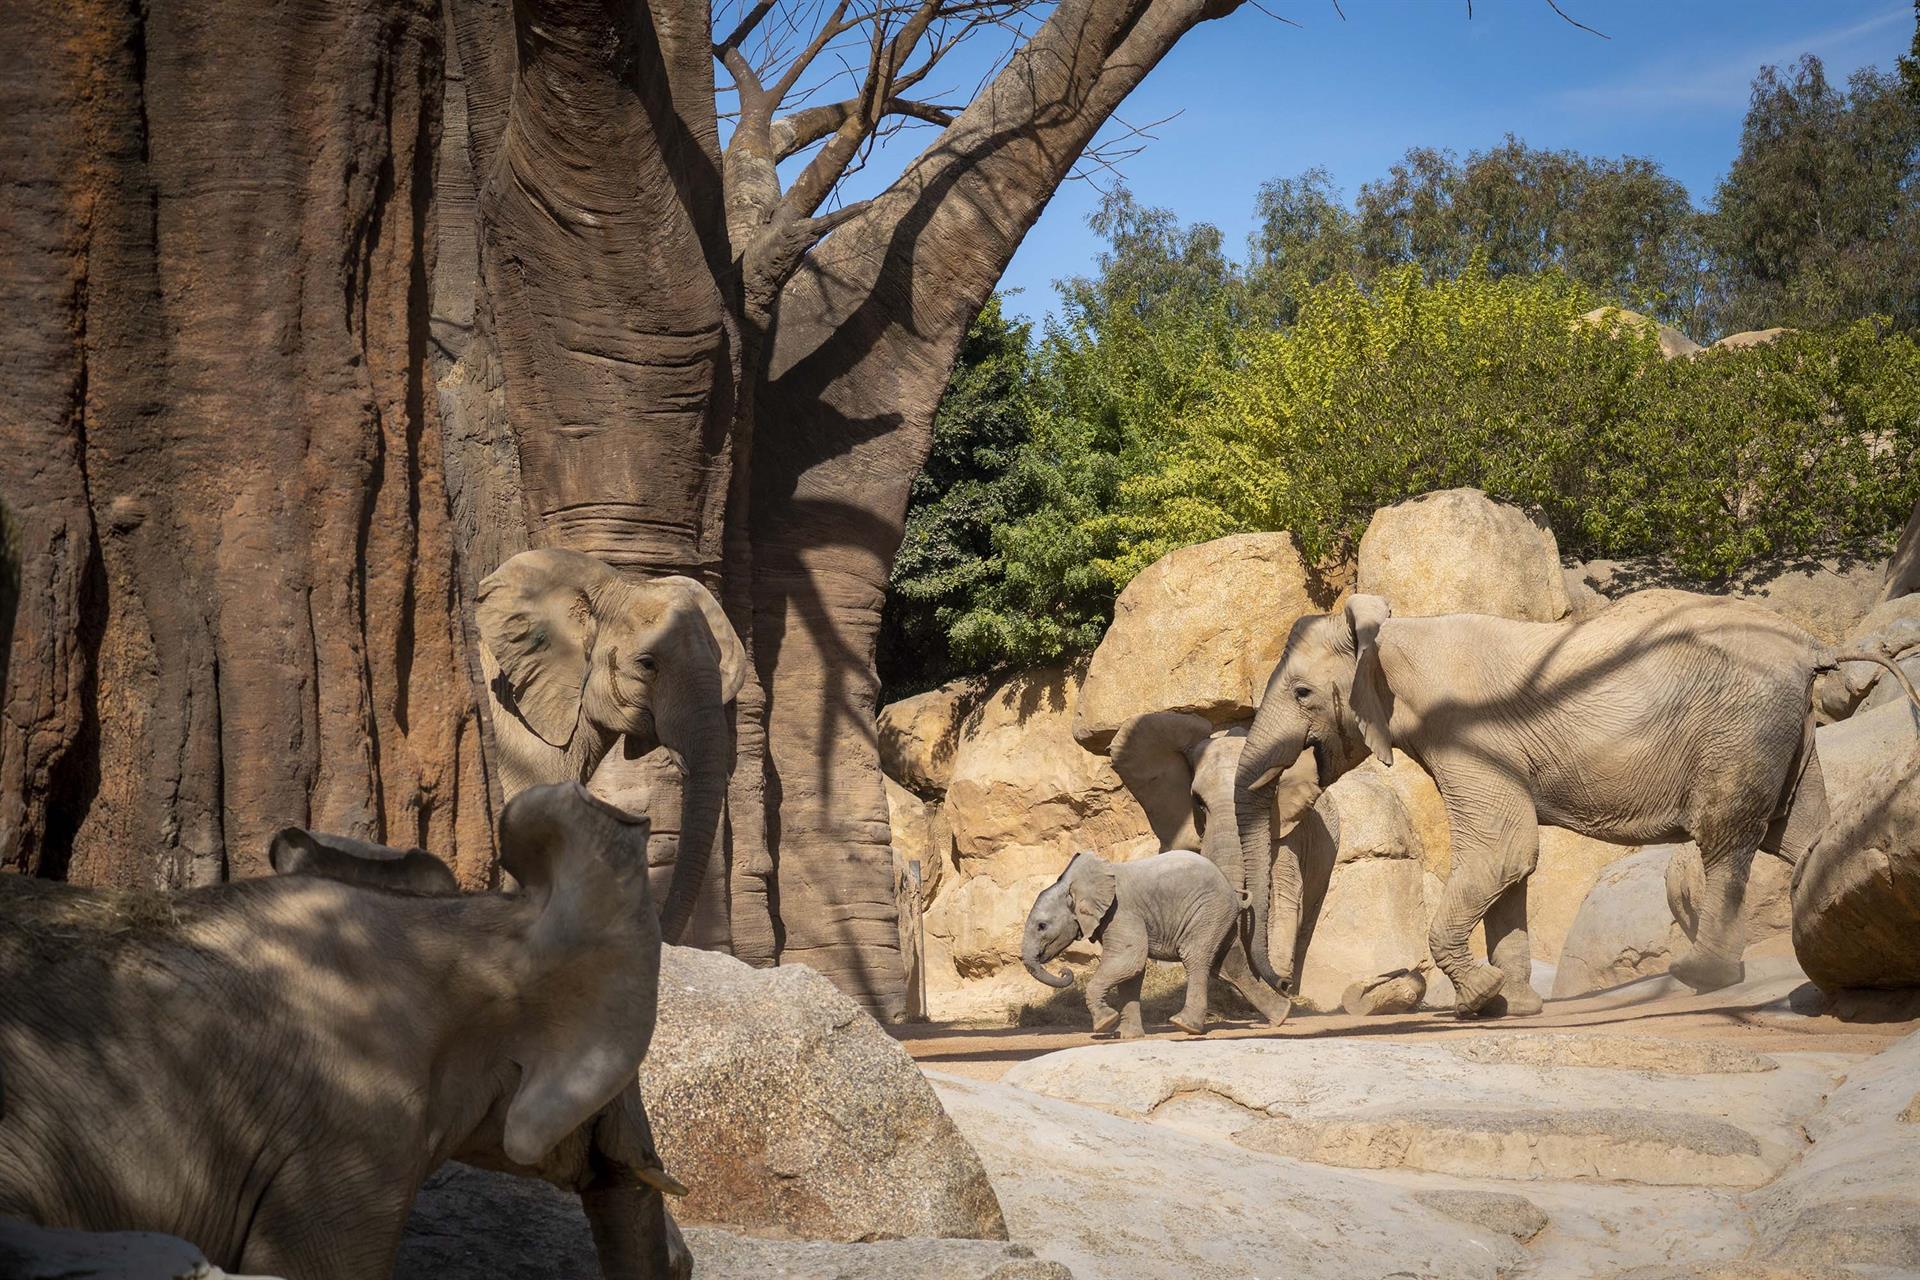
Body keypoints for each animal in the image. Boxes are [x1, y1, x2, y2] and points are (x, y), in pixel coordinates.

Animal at [1022, 849, 1245, 1037]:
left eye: (1041, 926)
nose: (1064, 972)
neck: (1074, 884)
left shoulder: (1121, 910)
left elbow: (1129, 960)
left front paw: (1104, 1023)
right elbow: (1131, 972)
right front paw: (1127, 1036)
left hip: (1209, 910)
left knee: (1194, 957)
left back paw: (1186, 1025)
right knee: (1228, 965)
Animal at [1233, 590, 1869, 1018]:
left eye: (1302, 693)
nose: (1286, 990)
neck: (1393, 635)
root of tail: (1810, 646)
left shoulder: (1467, 731)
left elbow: (1501, 850)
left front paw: (1478, 1000)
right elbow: (1511, 866)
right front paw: (1511, 1006)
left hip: (1740, 728)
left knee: (1727, 837)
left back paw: (1701, 975)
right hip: (1780, 730)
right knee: (1797, 830)